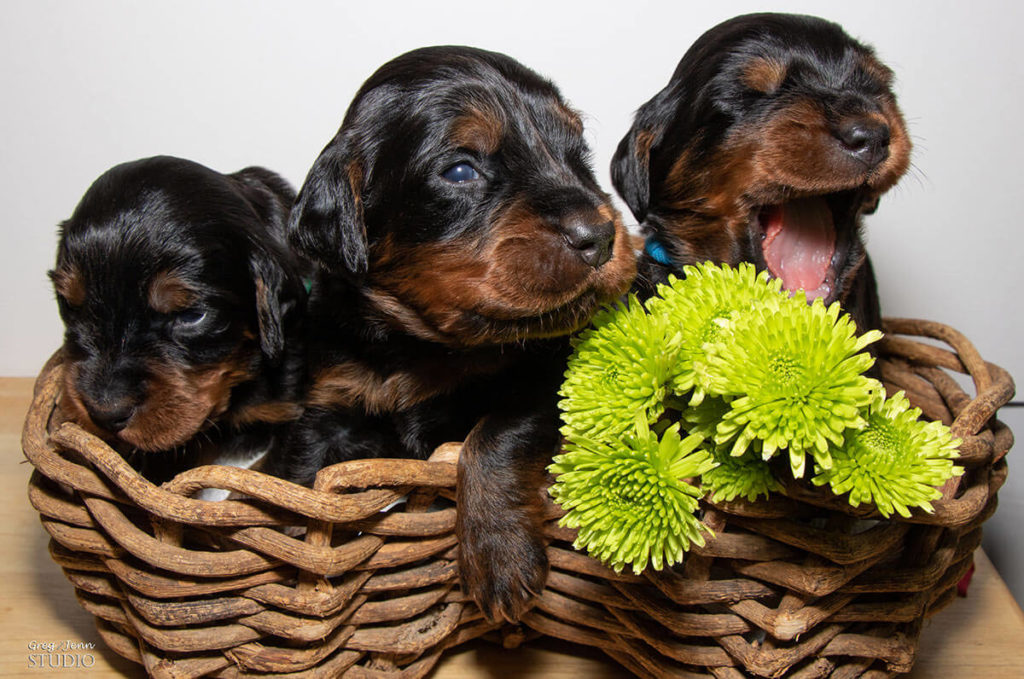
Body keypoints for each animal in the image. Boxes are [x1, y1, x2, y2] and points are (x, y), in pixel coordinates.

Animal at [276, 46, 634, 622]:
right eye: (461, 169)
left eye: (577, 153)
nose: (600, 235)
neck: (419, 343)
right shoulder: (330, 401)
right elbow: (303, 477)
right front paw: (293, 551)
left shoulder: (546, 378)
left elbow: (491, 438)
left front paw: (499, 559)